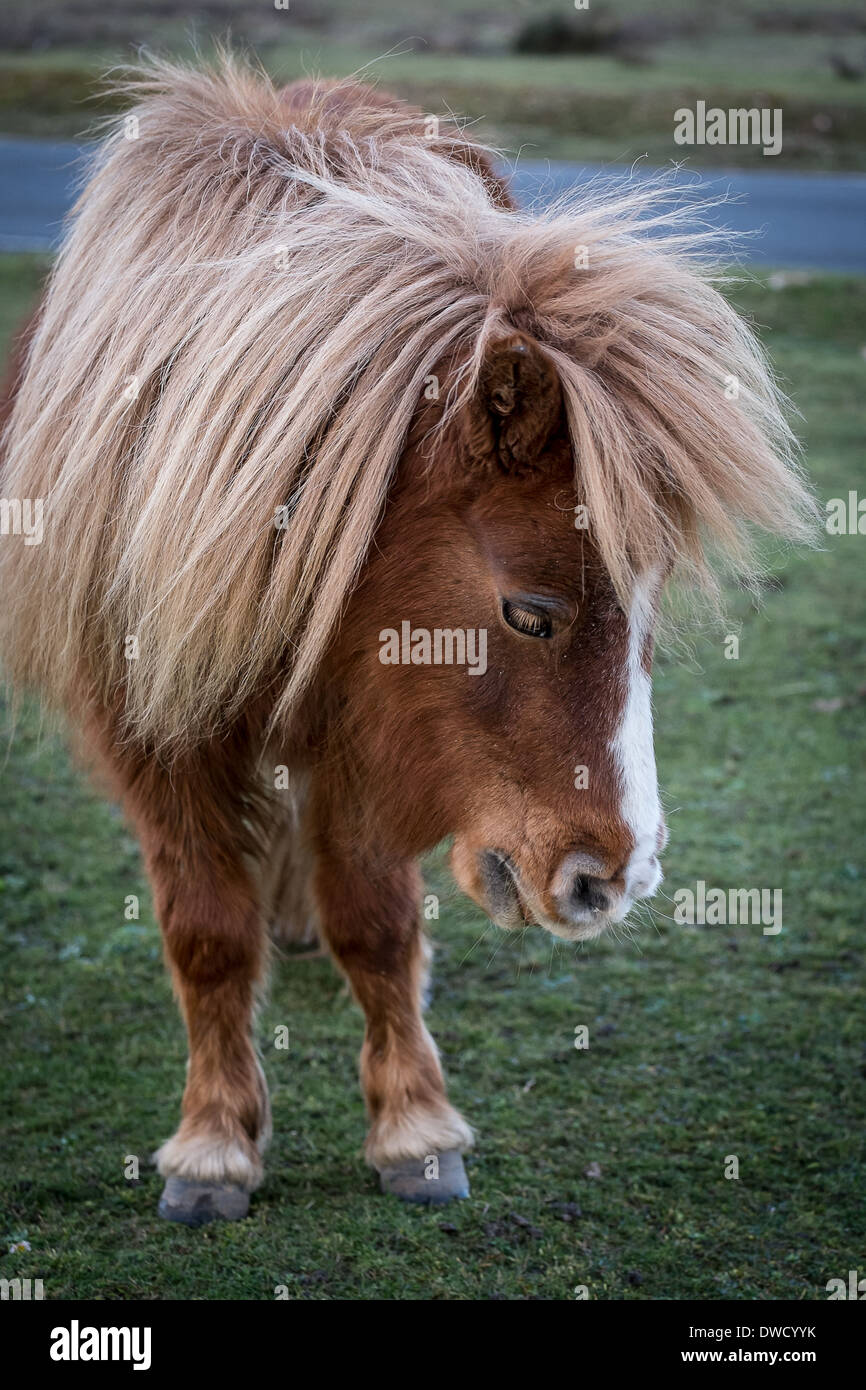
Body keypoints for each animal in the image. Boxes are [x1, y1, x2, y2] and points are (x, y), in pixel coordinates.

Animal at [0, 59, 817, 1223]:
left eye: (651, 605)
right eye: (528, 612)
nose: (609, 879)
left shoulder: (373, 730)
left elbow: (377, 922)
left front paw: (414, 1133)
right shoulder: (151, 729)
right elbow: (205, 930)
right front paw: (212, 1147)